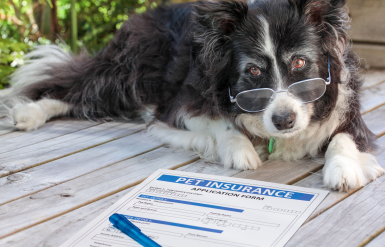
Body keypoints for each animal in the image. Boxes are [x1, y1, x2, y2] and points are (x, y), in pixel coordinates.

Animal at [1, 0, 382, 191]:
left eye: (300, 62)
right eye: (253, 71)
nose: (284, 120)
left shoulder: (348, 110)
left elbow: (344, 138)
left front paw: (343, 169)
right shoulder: (181, 102)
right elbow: (219, 122)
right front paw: (240, 149)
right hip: (130, 69)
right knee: (77, 85)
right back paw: (30, 113)